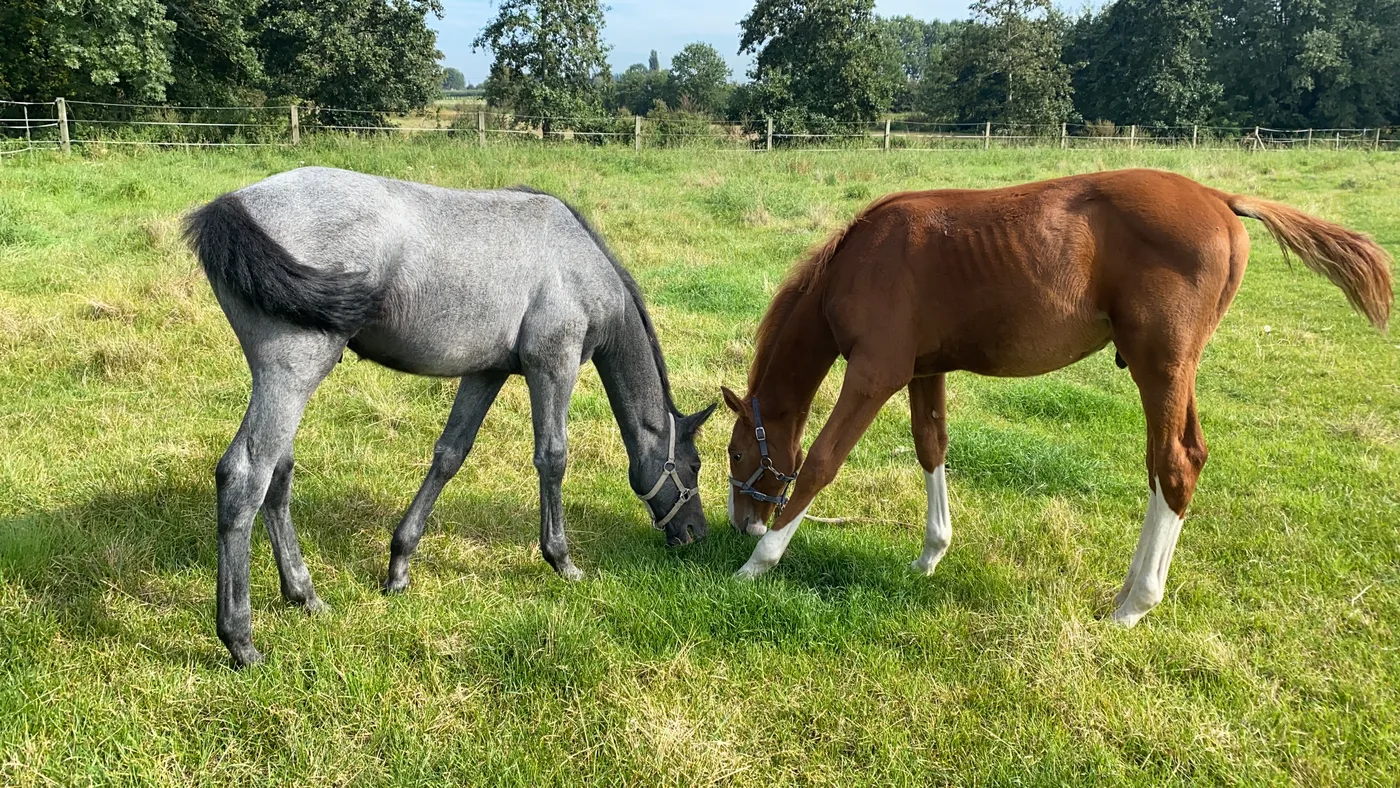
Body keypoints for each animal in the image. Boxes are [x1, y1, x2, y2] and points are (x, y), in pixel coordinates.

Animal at [185, 167, 716, 666]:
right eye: (693, 466)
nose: (696, 533)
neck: (577, 260)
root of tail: (231, 206)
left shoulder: (486, 372)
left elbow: (449, 455)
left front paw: (399, 565)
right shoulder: (553, 364)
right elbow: (553, 458)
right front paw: (561, 560)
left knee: (278, 476)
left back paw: (304, 595)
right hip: (293, 372)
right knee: (244, 477)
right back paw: (241, 641)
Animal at [722, 168, 1392, 627]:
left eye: (734, 454)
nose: (742, 523)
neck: (862, 258)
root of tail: (1221, 200)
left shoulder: (874, 373)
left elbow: (821, 462)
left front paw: (760, 562)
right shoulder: (923, 370)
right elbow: (931, 446)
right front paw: (931, 555)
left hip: (1161, 365)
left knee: (1175, 464)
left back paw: (1134, 606)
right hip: (1176, 371)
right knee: (1172, 463)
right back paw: (1128, 591)